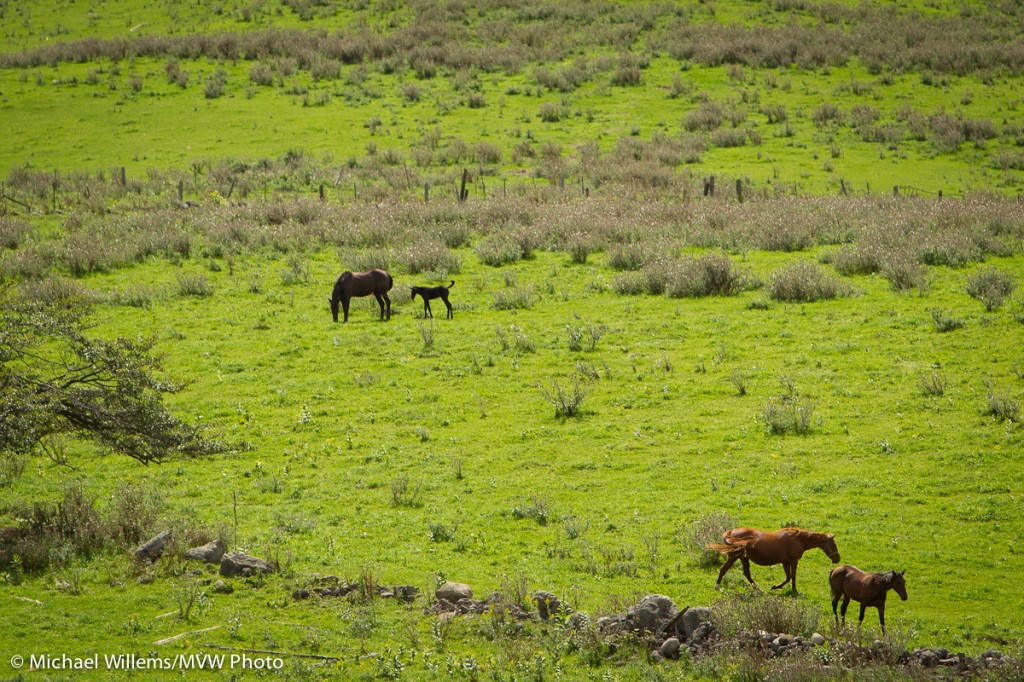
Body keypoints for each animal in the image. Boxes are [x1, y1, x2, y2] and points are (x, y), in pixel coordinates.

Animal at [707, 527, 840, 593]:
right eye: (833, 545)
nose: (838, 559)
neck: (799, 539)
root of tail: (731, 532)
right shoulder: (793, 561)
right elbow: (793, 576)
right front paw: (792, 590)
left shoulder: (786, 562)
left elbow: (788, 577)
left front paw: (776, 587)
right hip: (735, 556)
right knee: (724, 569)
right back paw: (718, 587)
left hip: (743, 557)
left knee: (746, 573)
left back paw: (758, 589)